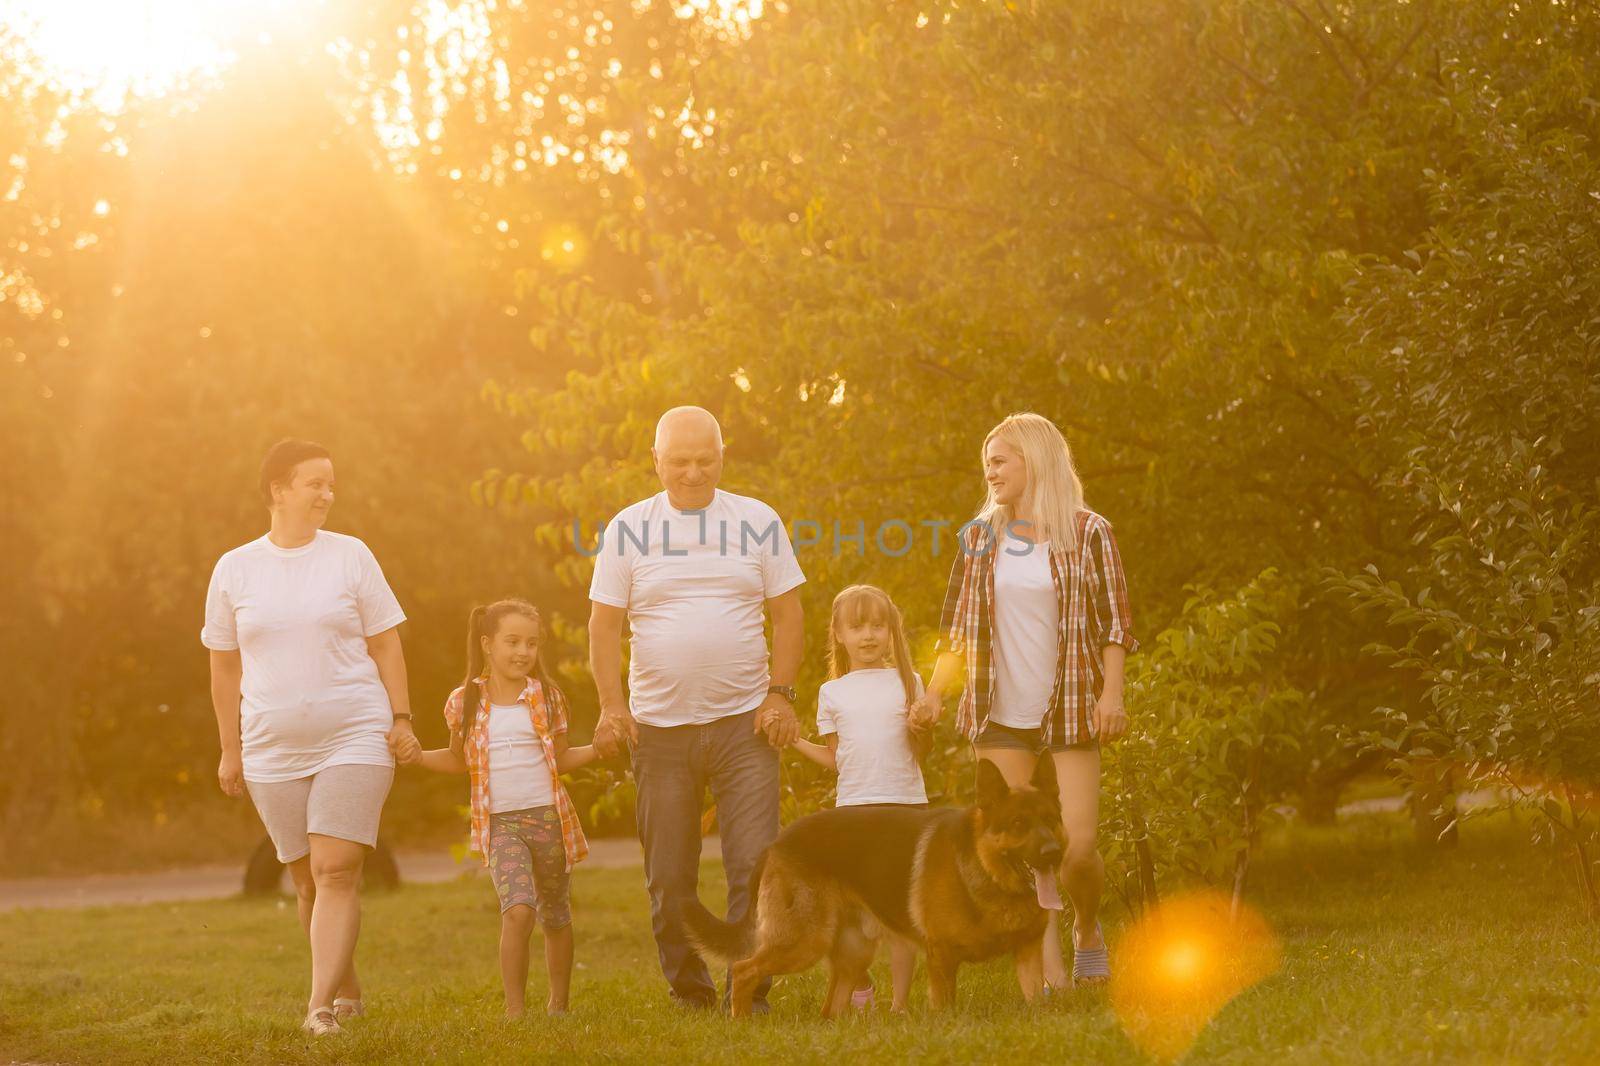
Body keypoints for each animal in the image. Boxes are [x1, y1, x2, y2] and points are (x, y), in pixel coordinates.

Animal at [678, 745, 1062, 1011]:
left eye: (1051, 819)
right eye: (1018, 824)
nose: (1053, 853)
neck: (987, 872)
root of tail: (776, 842)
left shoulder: (1029, 956)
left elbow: (1036, 1005)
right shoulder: (942, 959)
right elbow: (946, 1012)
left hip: (852, 956)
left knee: (828, 1010)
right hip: (804, 941)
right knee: (744, 970)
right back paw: (741, 1021)